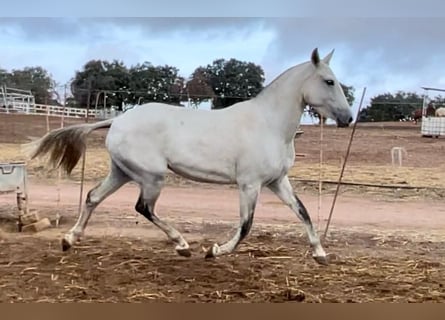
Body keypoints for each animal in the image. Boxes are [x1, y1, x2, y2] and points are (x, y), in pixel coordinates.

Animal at [24, 48, 352, 264]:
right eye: (329, 81)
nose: (348, 118)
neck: (269, 124)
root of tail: (117, 120)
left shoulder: (277, 181)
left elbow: (303, 212)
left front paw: (321, 254)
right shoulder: (250, 184)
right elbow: (246, 225)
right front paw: (215, 250)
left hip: (122, 172)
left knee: (93, 196)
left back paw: (69, 240)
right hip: (152, 177)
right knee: (143, 207)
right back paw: (182, 245)